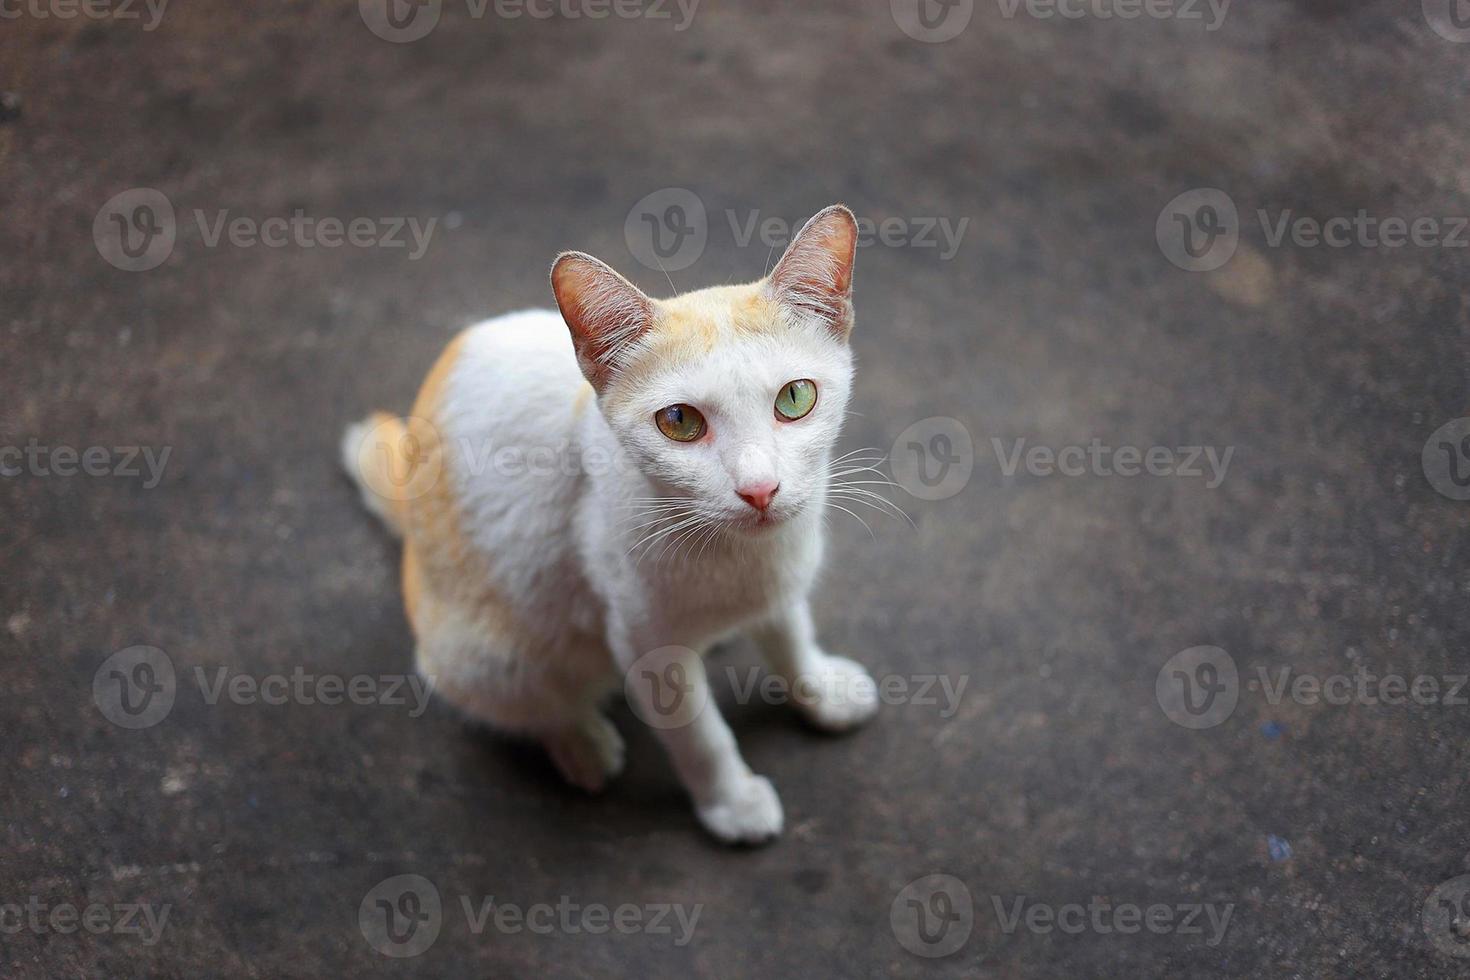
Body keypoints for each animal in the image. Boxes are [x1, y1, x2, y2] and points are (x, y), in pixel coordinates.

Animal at [338, 205, 876, 846]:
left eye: (795, 398)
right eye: (679, 421)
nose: (759, 489)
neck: (739, 560)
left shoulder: (781, 581)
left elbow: (791, 634)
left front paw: (820, 689)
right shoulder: (643, 641)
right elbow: (698, 733)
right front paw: (731, 801)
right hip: (481, 652)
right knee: (527, 701)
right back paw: (581, 743)